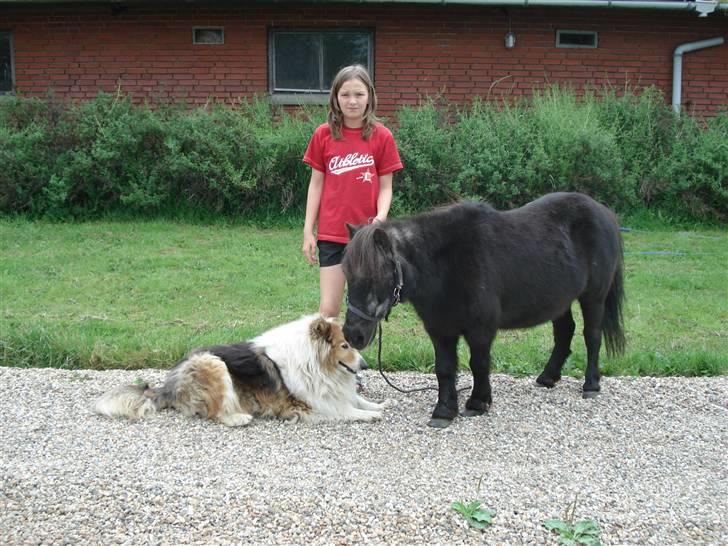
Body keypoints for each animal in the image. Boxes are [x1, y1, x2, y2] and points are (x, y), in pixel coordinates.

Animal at [95, 314, 398, 424]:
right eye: (345, 345)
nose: (365, 365)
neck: (315, 361)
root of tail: (169, 384)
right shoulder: (311, 404)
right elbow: (346, 410)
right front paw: (368, 414)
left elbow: (356, 399)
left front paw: (379, 404)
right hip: (214, 365)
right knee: (215, 414)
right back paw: (239, 418)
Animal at [342, 193, 624, 428]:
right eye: (346, 274)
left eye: (376, 277)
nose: (353, 334)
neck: (446, 266)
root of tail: (603, 211)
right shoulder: (440, 329)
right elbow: (444, 368)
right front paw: (444, 411)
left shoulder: (480, 329)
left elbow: (478, 364)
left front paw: (478, 402)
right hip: (560, 300)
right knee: (565, 333)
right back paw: (548, 377)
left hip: (593, 297)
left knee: (592, 336)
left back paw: (591, 384)